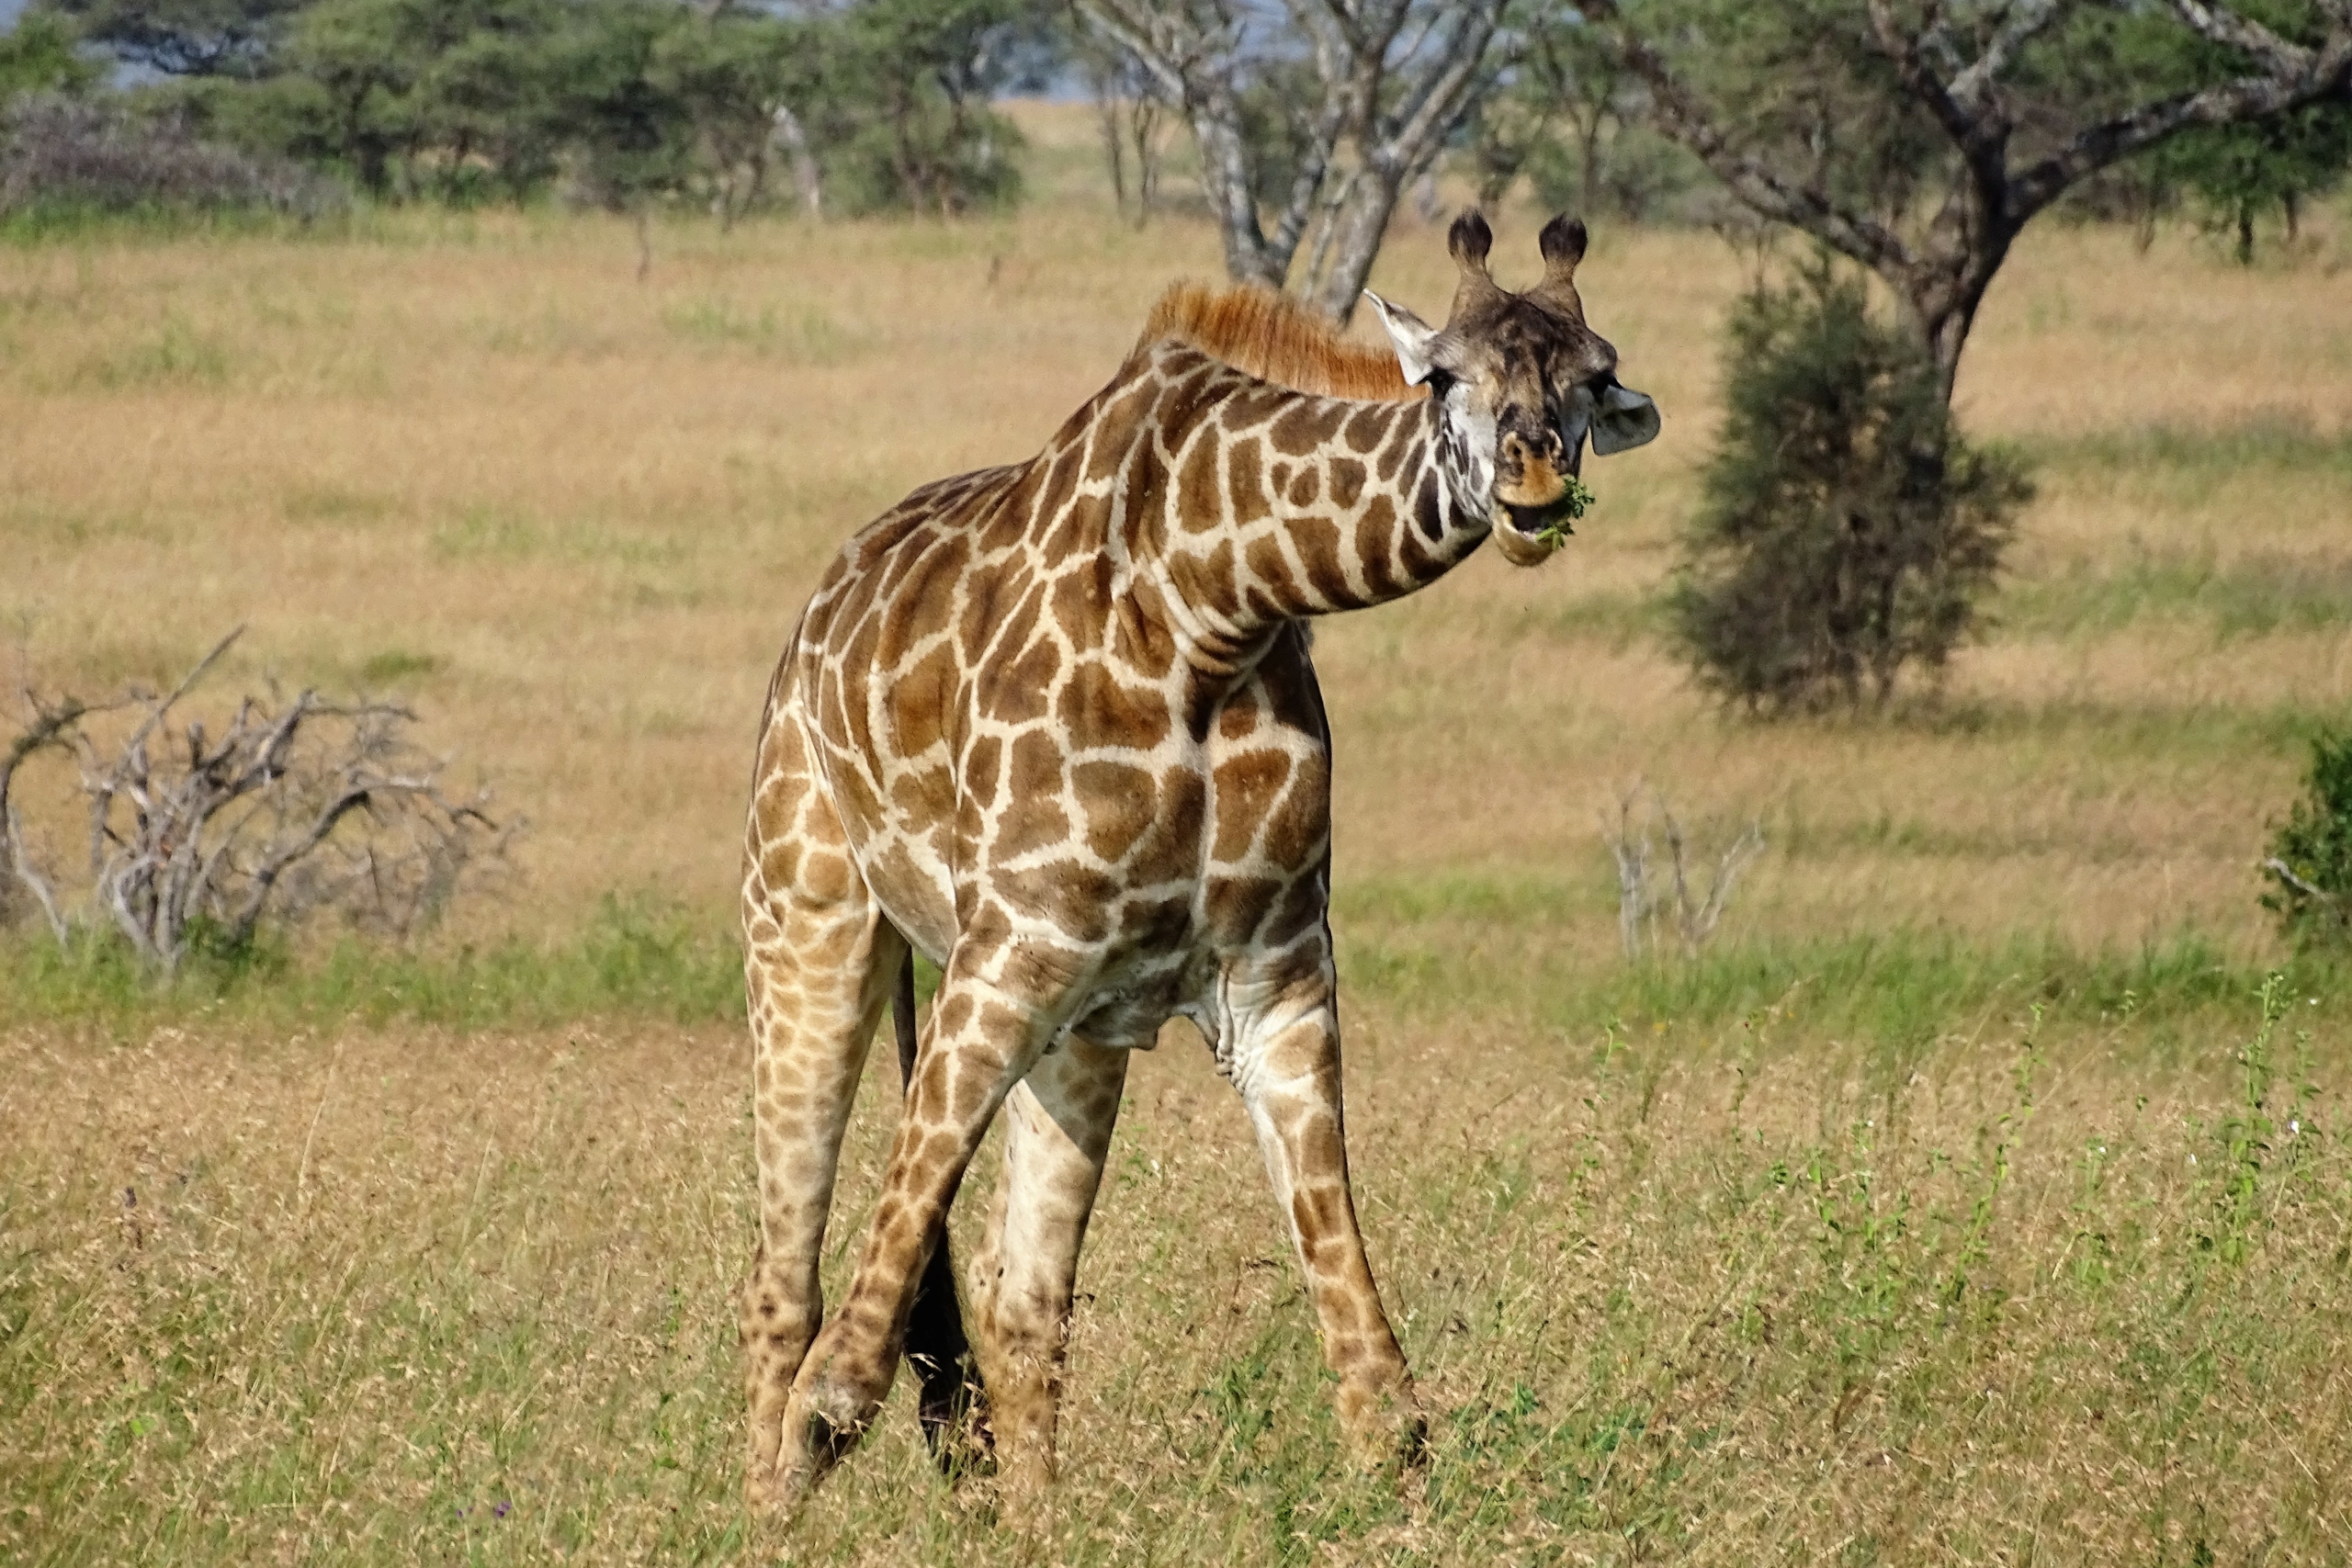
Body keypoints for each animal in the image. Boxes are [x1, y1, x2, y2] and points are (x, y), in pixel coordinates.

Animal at [733, 211, 1656, 1523]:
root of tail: (817, 610)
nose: (1533, 488)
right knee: (789, 1284)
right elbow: (842, 1379)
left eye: (1591, 376)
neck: (1211, 604)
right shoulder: (1005, 951)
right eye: (1441, 377)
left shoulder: (1272, 982)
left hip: (1078, 1029)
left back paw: (1037, 1533)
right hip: (809, 912)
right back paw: (751, 1506)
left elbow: (1379, 1387)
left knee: (1021, 1301)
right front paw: (786, 1499)